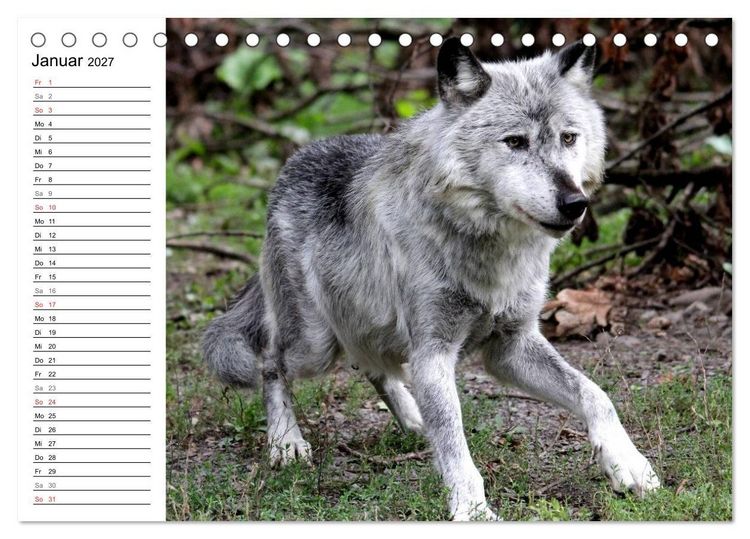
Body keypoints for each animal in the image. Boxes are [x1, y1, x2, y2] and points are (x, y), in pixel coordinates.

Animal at [203, 37, 660, 520]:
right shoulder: (434, 352)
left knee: (374, 368)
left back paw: (412, 417)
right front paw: (472, 510)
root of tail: (291, 165)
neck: (490, 250)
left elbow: (596, 394)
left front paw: (629, 464)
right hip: (314, 343)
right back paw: (286, 442)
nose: (575, 203)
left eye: (568, 138)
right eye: (515, 142)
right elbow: (454, 440)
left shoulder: (510, 347)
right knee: (271, 361)